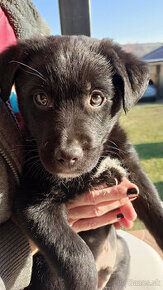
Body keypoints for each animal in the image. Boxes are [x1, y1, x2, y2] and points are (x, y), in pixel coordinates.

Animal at [0, 36, 162, 290]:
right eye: (41, 98)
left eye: (96, 98)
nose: (68, 156)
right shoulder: (31, 203)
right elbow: (76, 254)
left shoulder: (132, 173)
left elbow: (156, 209)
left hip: (122, 256)